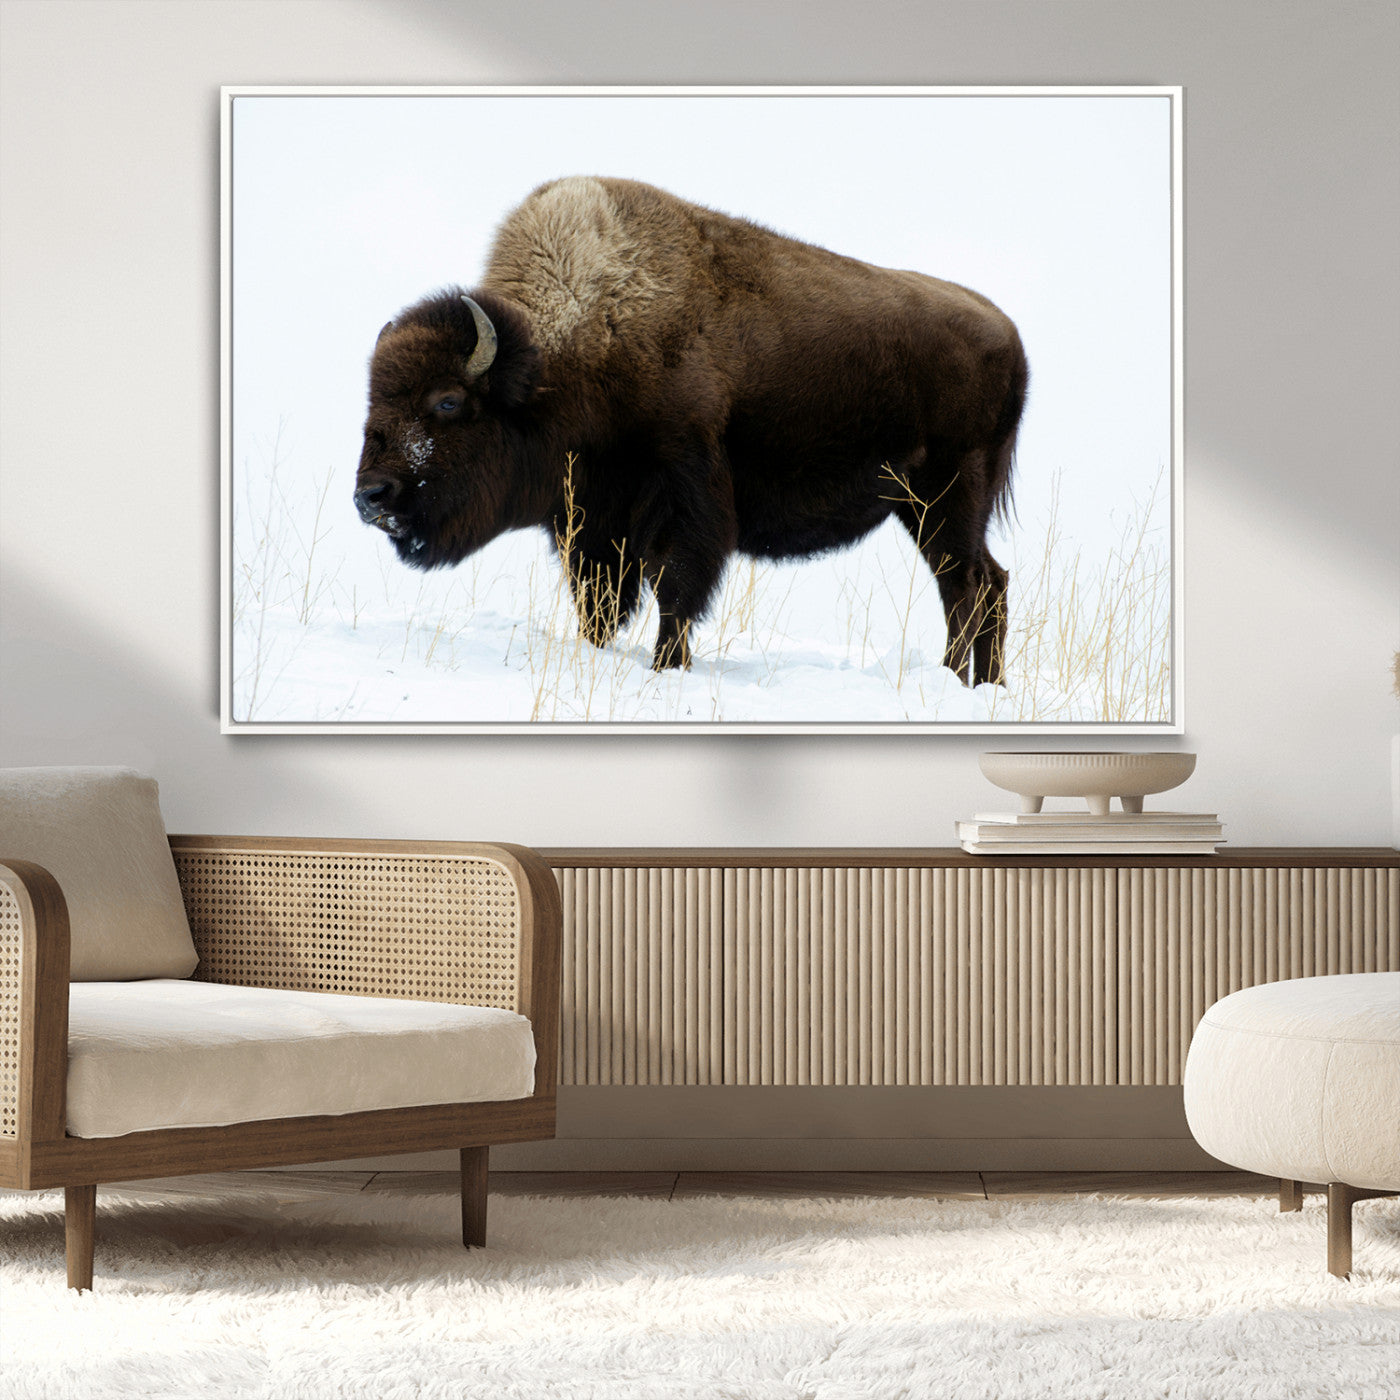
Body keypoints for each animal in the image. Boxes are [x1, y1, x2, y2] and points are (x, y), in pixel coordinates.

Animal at [355, 176, 1028, 683]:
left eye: (447, 402)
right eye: (374, 399)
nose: (370, 496)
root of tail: (1009, 333)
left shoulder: (684, 497)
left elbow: (675, 589)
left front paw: (666, 668)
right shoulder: (590, 520)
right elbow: (599, 602)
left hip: (947, 496)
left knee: (965, 586)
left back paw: (955, 680)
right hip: (922, 507)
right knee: (985, 583)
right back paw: (981, 685)